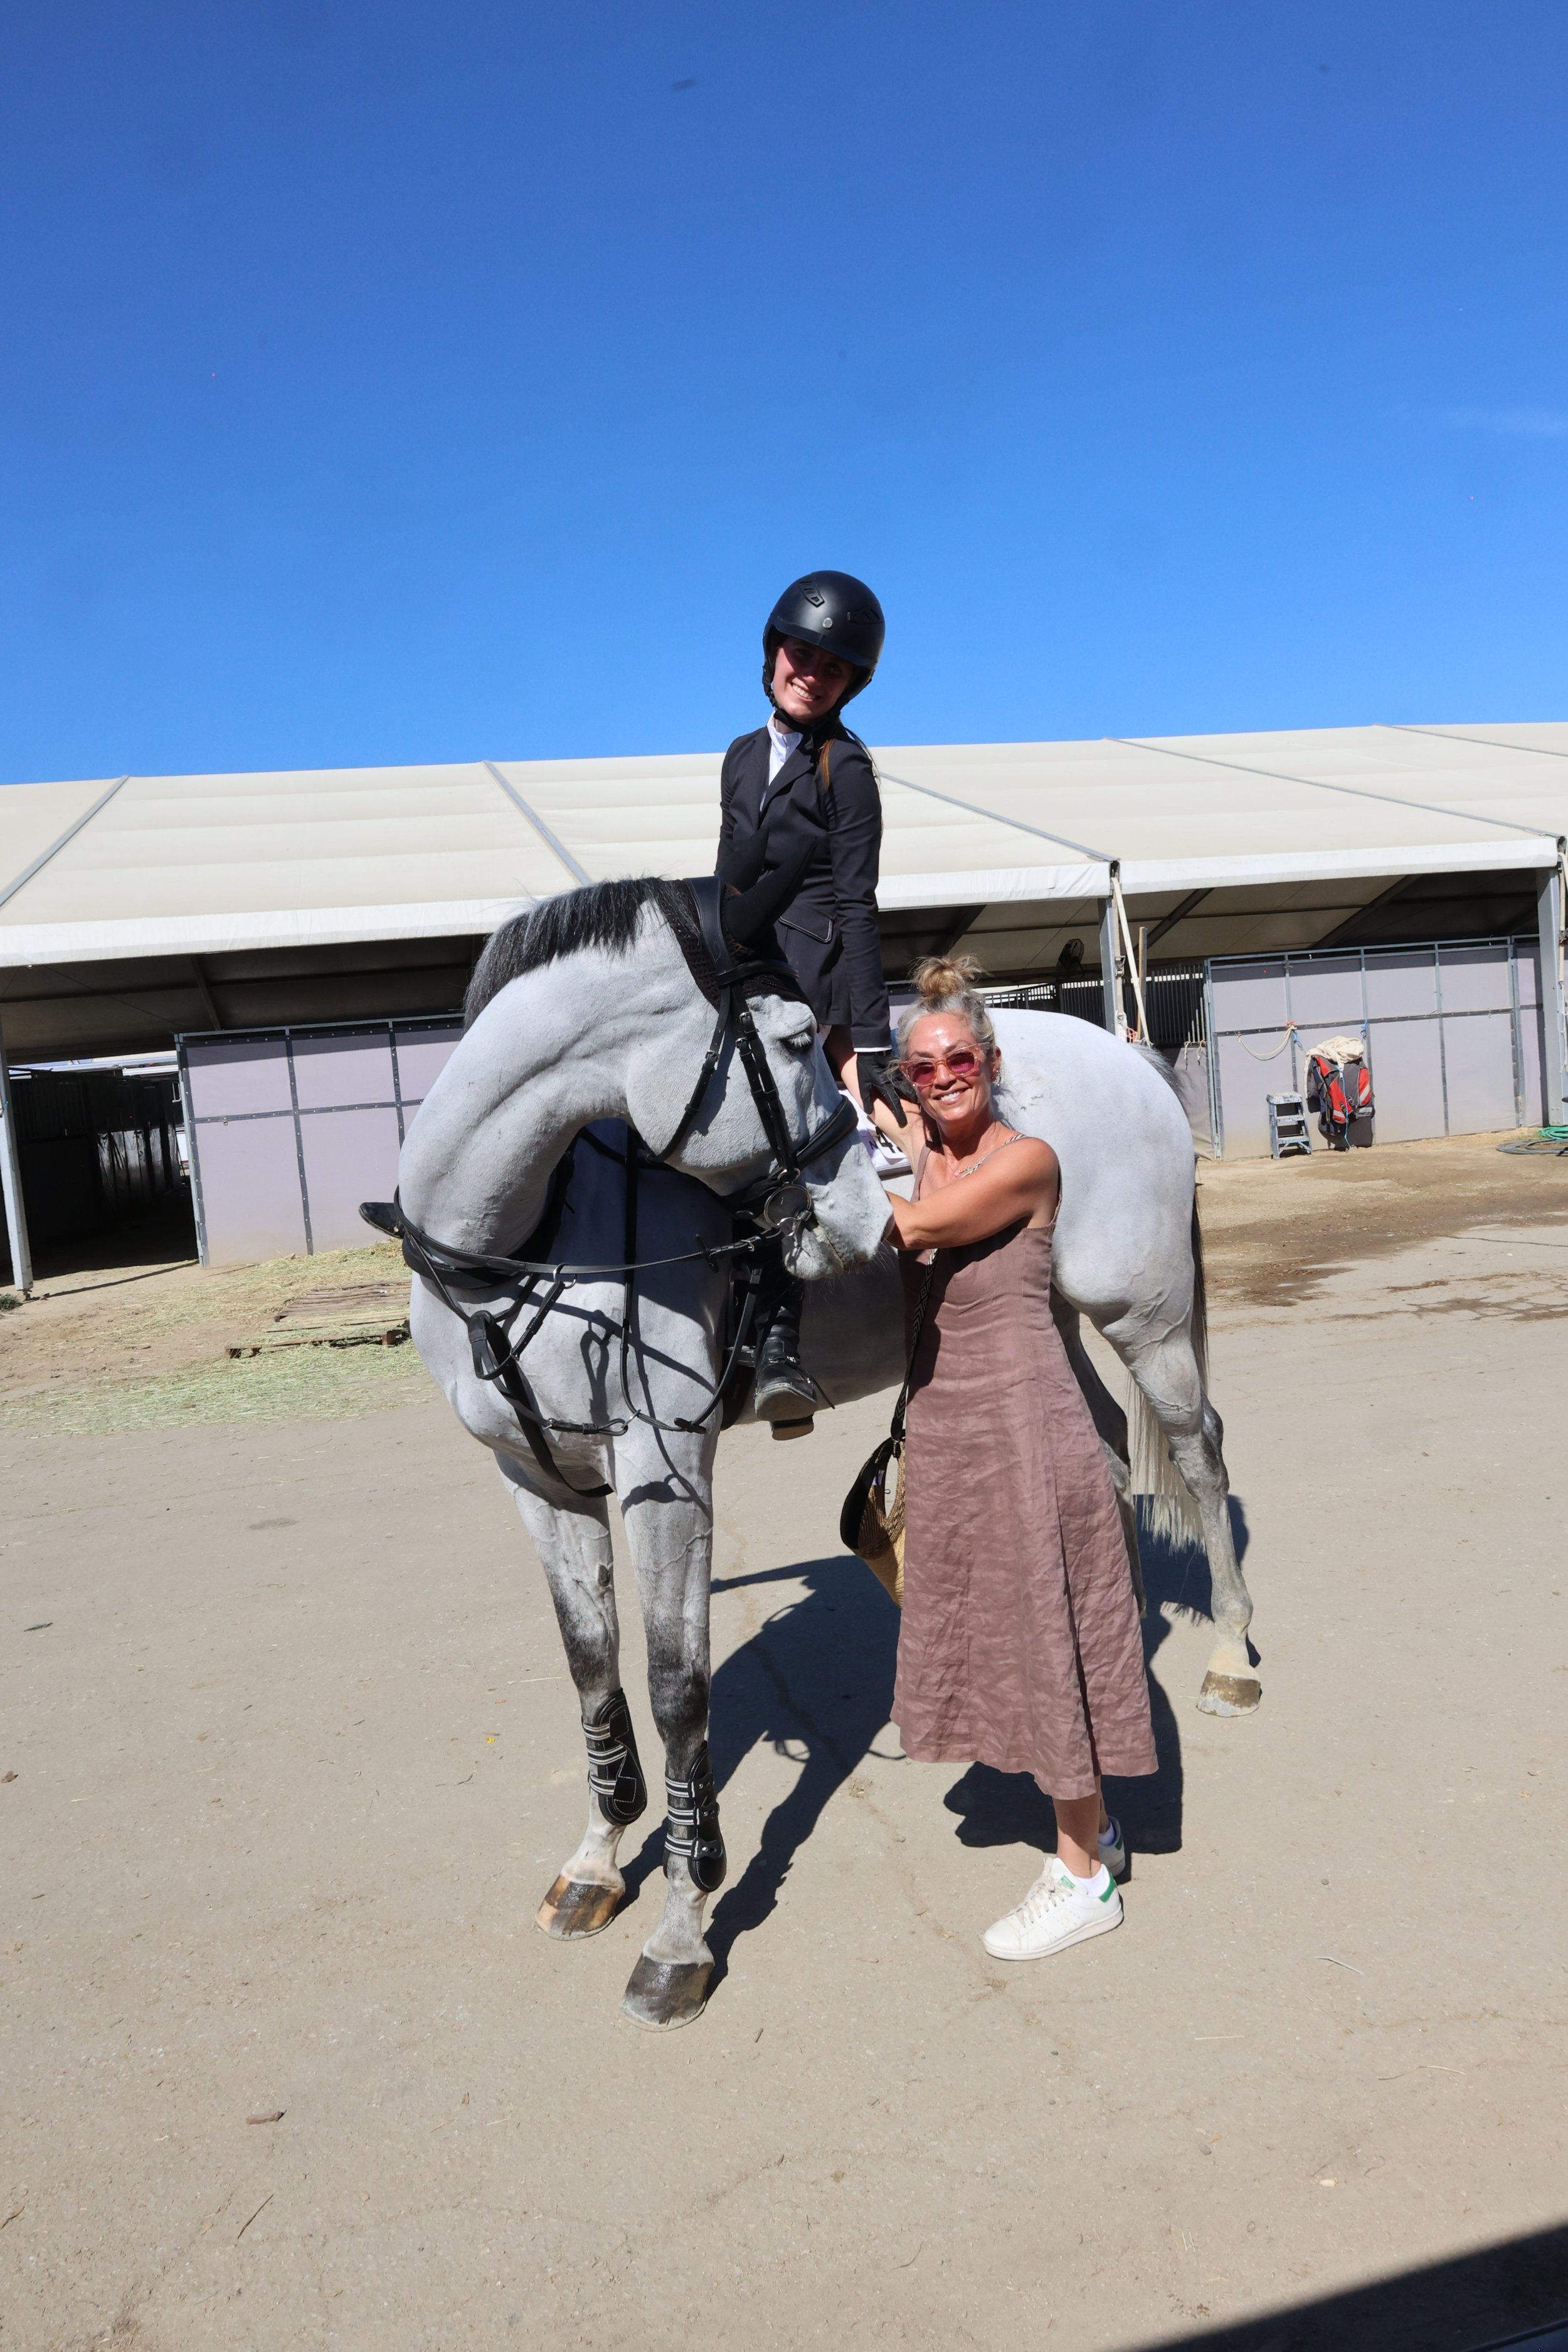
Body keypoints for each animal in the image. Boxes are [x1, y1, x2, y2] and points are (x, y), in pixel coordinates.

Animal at [390, 874, 1254, 2029]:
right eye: (796, 1040)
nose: (861, 1209)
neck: (525, 1238)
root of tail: (1121, 1053)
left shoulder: (665, 1478)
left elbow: (675, 1687)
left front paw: (681, 1929)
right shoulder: (535, 1479)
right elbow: (590, 1668)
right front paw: (597, 1861)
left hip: (1144, 1322)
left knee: (1200, 1461)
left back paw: (1232, 1657)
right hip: (1062, 1319)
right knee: (1112, 1462)